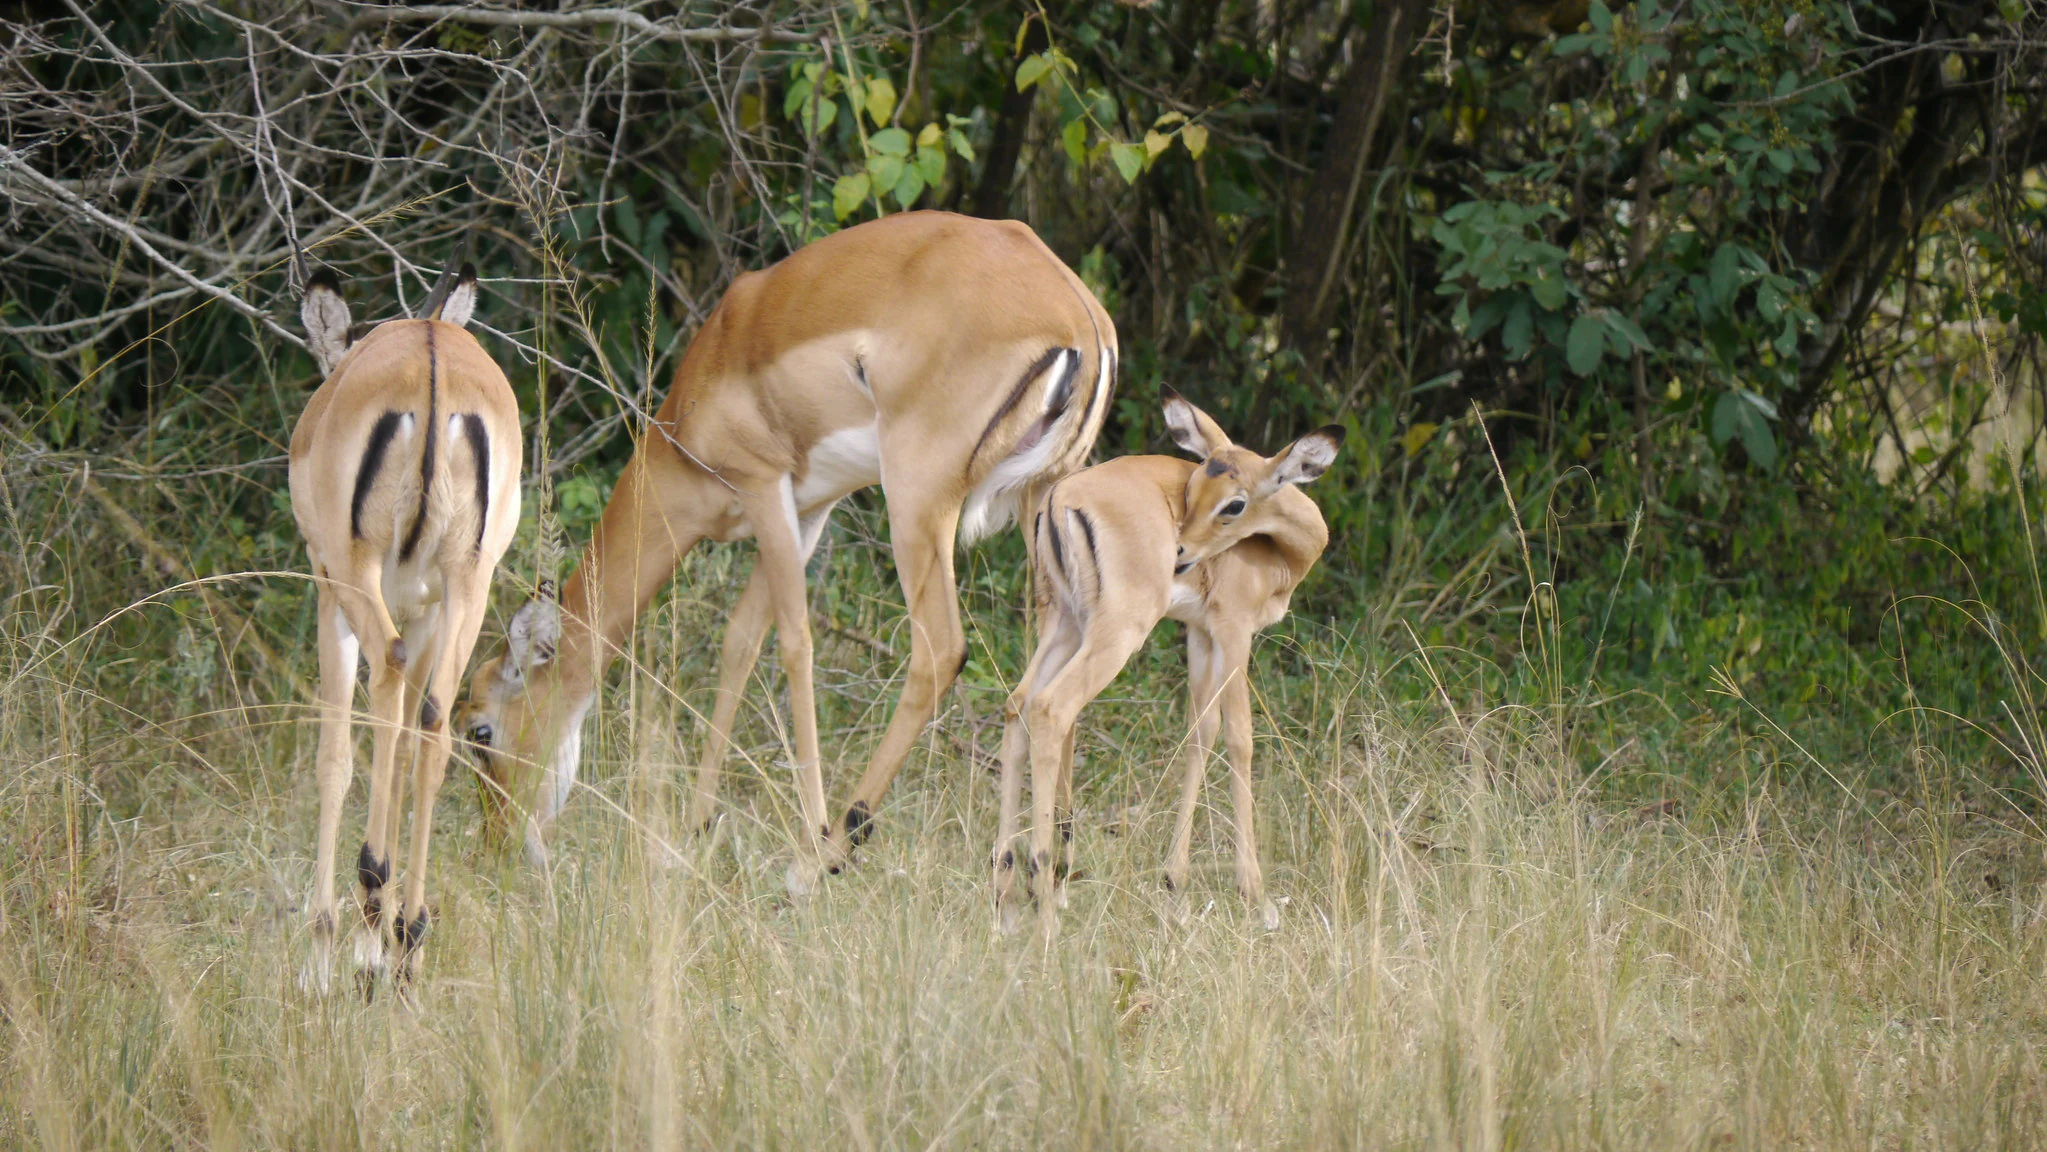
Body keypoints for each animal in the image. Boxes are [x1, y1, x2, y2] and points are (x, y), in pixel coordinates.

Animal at [291, 261, 522, 991]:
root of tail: (430, 355)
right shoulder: (424, 608)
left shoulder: (329, 588)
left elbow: (336, 756)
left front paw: (325, 952)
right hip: (469, 583)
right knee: (434, 723)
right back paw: (408, 940)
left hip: (359, 577)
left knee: (385, 689)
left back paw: (366, 927)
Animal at [459, 211, 1115, 888]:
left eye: (479, 731)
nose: (503, 845)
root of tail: (1080, 317)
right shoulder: (807, 511)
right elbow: (740, 644)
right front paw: (696, 827)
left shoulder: (763, 485)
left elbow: (795, 643)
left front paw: (808, 831)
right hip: (1046, 504)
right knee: (1062, 661)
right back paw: (1055, 865)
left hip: (918, 503)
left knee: (941, 651)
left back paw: (822, 860)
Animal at [991, 396, 1341, 937]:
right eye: (1191, 489)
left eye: (1232, 501)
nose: (1180, 553)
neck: (1281, 552)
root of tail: (1061, 497)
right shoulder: (1235, 631)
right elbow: (1240, 738)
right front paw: (1256, 896)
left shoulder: (1200, 634)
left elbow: (1202, 731)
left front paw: (1175, 882)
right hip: (1117, 632)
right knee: (1051, 709)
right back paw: (1047, 910)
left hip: (1064, 624)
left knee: (1018, 704)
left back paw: (1006, 901)